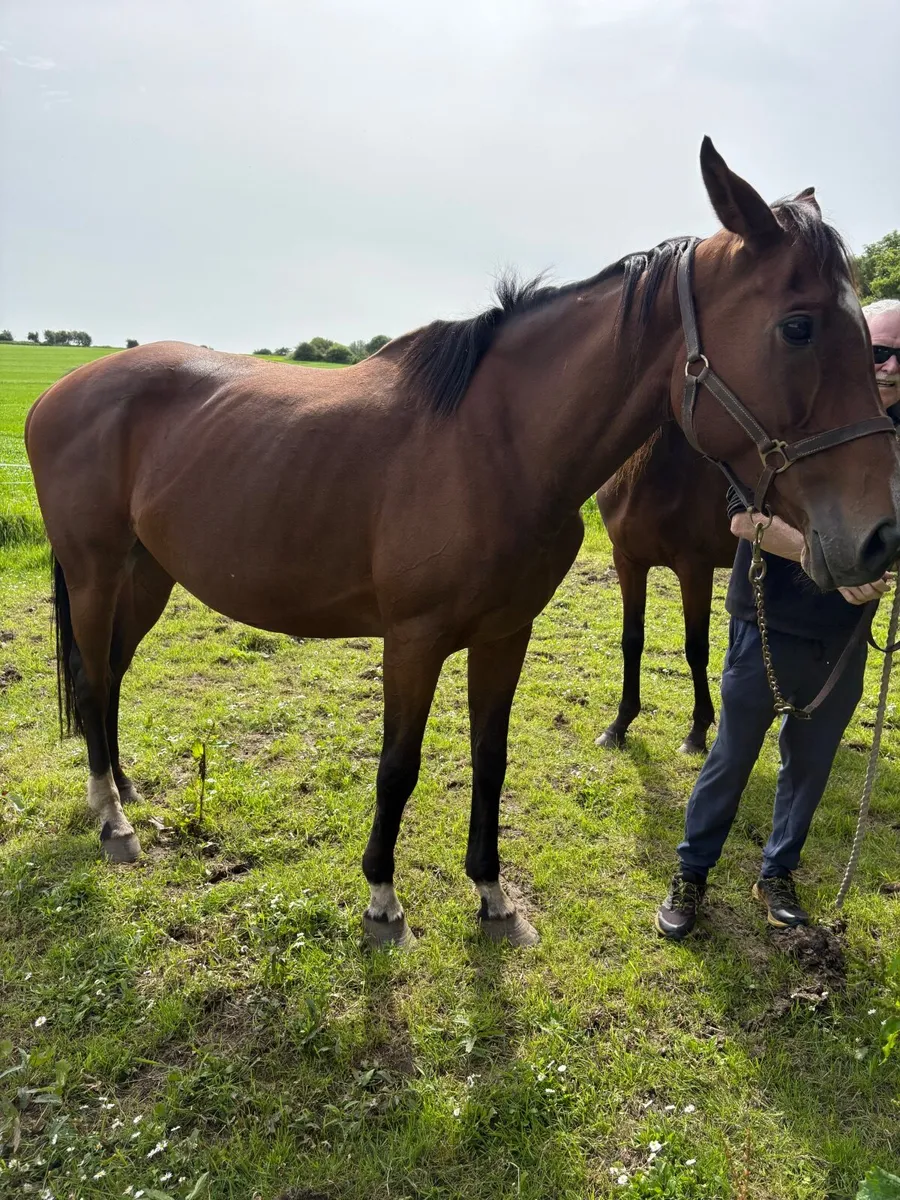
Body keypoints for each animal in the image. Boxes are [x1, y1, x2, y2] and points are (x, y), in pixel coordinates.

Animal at [596, 422, 735, 755]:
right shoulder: (628, 562)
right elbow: (632, 641)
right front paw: (619, 725)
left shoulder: (695, 569)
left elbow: (696, 649)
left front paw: (697, 733)